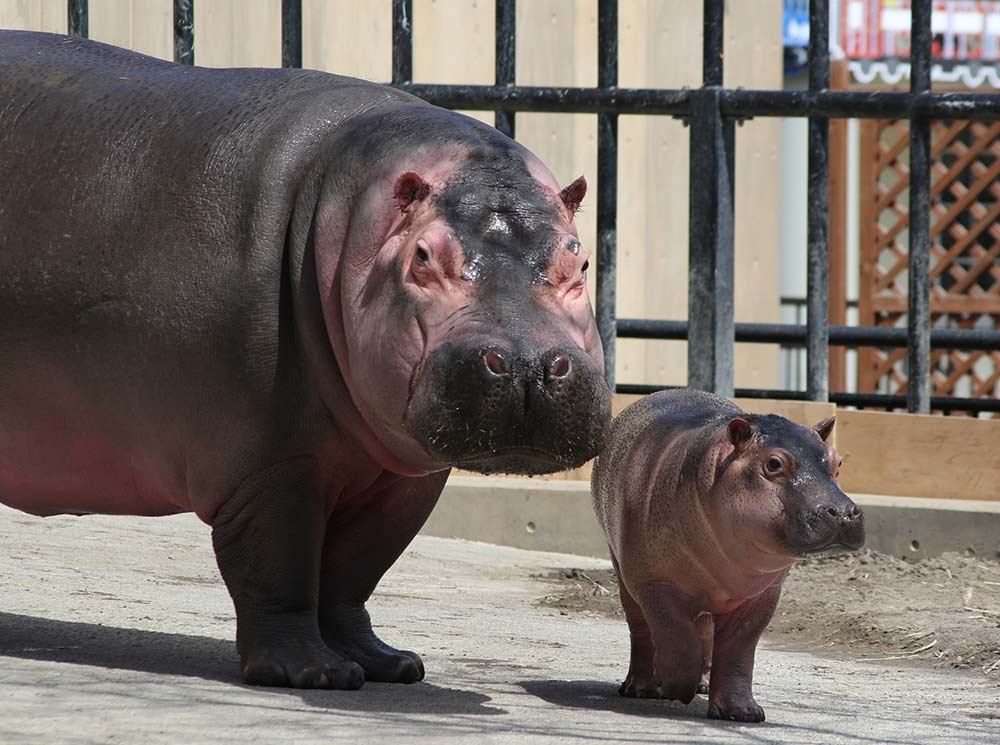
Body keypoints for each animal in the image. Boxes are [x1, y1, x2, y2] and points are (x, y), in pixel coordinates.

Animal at [0, 33, 612, 684]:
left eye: (580, 260)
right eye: (423, 256)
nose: (527, 367)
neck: (352, 224)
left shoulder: (403, 479)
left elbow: (353, 576)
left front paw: (389, 664)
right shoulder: (273, 464)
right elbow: (280, 569)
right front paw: (315, 673)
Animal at [588, 390, 864, 720]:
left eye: (838, 461)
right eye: (773, 463)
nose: (843, 512)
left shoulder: (761, 595)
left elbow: (737, 650)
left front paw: (742, 713)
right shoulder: (655, 583)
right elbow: (677, 638)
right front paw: (676, 687)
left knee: (704, 632)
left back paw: (703, 685)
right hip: (624, 573)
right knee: (641, 629)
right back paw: (643, 688)